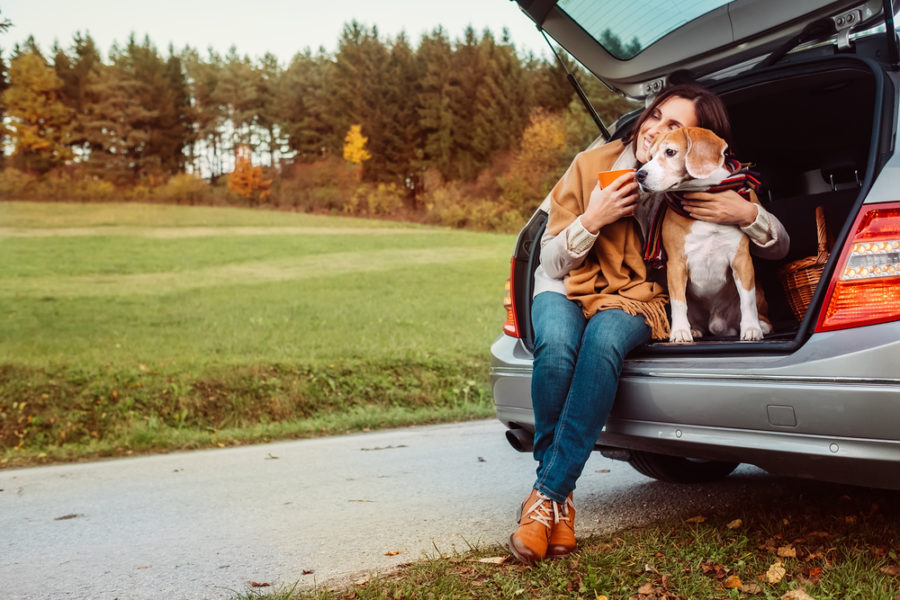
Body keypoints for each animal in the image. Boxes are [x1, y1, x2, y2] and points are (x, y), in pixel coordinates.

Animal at [636, 126, 768, 342]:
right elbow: (679, 303)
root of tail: (715, 323)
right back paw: (695, 329)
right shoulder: (676, 265)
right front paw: (680, 331)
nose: (639, 175)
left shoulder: (741, 260)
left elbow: (747, 300)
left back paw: (762, 325)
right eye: (650, 156)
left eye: (670, 152)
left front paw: (751, 328)